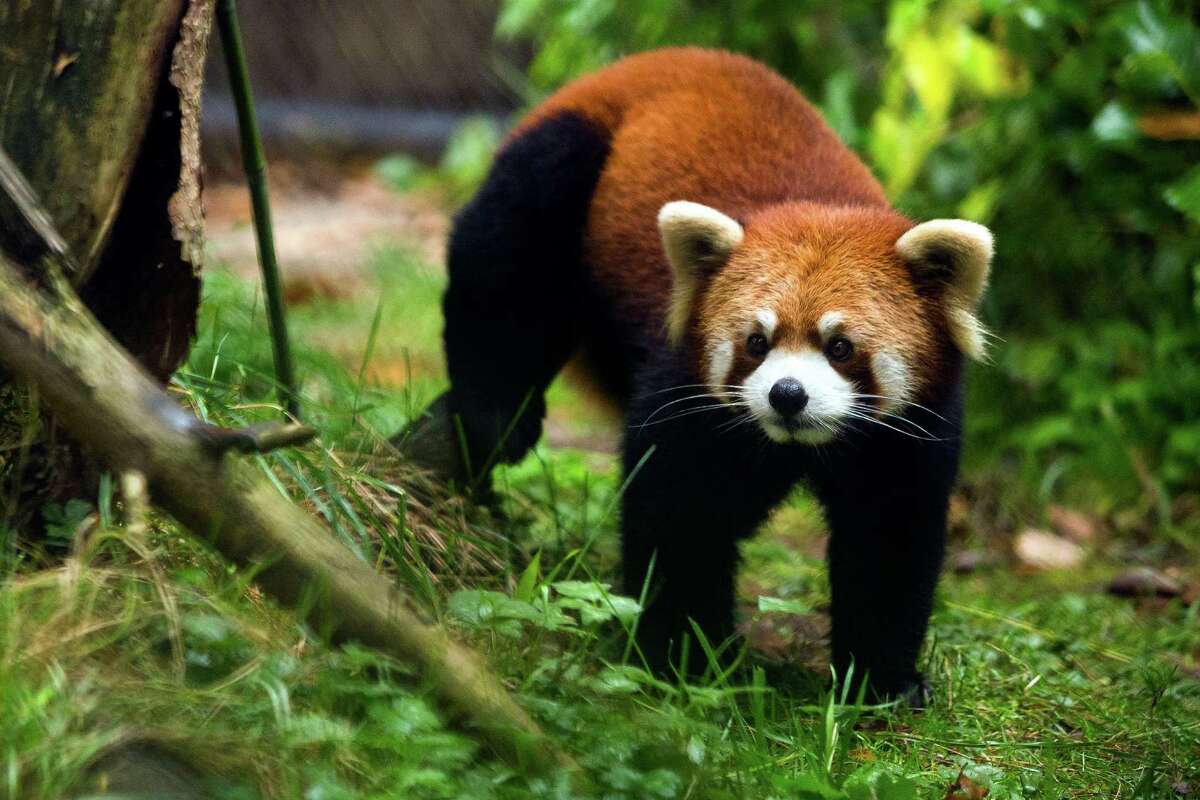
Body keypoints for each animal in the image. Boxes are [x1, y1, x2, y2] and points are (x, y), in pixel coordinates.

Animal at [403, 48, 993, 700]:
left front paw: (881, 681)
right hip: (566, 156)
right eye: (756, 342)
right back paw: (494, 413)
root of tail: (661, 58)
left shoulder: (912, 429)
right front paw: (684, 656)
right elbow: (680, 512)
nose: (787, 395)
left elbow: (889, 539)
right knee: (504, 264)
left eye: (840, 347)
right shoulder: (685, 390)